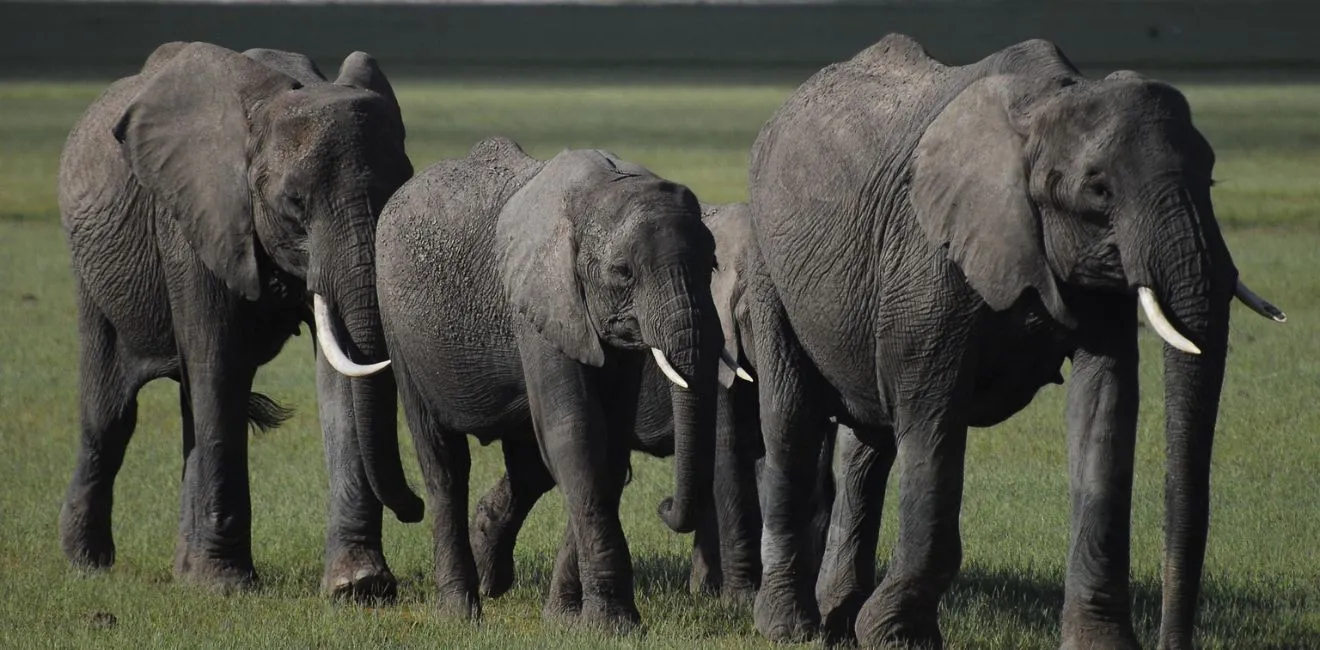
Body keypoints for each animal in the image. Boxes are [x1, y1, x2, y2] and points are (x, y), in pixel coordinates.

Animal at [57, 41, 424, 597]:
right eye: (295, 203)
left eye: (400, 188)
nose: (418, 508)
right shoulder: (194, 222)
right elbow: (219, 366)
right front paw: (225, 586)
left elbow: (338, 378)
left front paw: (357, 587)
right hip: (91, 272)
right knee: (111, 416)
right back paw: (88, 564)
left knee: (190, 409)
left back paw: (182, 572)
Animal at [375, 136, 724, 631]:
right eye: (623, 272)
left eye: (713, 264)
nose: (664, 504)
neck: (601, 190)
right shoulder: (540, 301)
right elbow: (575, 434)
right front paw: (612, 626)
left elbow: (608, 451)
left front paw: (565, 620)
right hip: (399, 327)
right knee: (444, 464)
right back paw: (459, 613)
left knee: (528, 468)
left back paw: (490, 577)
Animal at [466, 202, 838, 604]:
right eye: (756, 314)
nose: (663, 504)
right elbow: (729, 457)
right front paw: (738, 600)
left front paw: (712, 593)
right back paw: (488, 583)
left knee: (532, 469)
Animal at [741, 34, 1286, 648]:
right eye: (1098, 189)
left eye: (1211, 179)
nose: (1173, 642)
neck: (1048, 105)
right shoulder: (929, 256)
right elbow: (932, 419)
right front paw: (899, 637)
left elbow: (1105, 408)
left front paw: (1099, 644)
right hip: (770, 266)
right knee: (792, 420)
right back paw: (790, 628)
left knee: (869, 443)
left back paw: (838, 621)